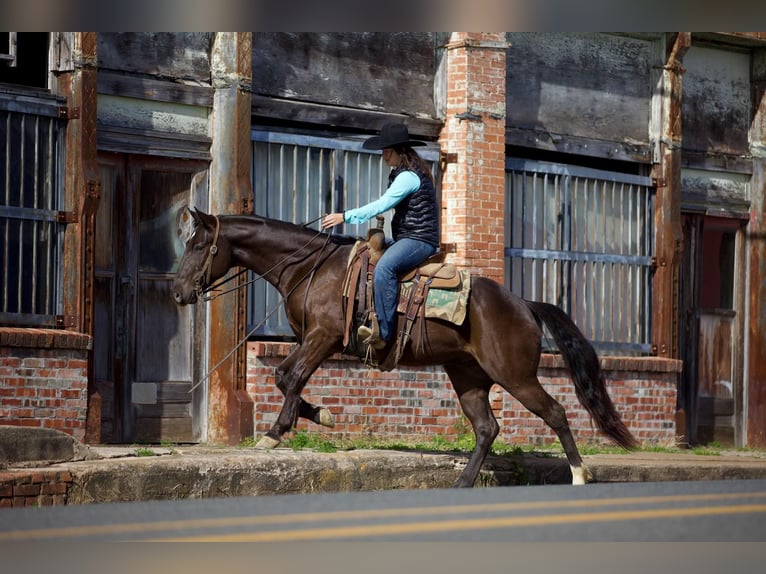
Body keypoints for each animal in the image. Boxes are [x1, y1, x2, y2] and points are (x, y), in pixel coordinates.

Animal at [172, 209, 636, 488]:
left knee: (554, 412)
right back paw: (463, 483)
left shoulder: (323, 337)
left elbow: (292, 376)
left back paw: (580, 475)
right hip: (468, 376)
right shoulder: (309, 339)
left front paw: (274, 434)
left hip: (515, 375)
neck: (310, 267)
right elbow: (284, 376)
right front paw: (319, 414)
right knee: (486, 428)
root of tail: (524, 304)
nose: (178, 291)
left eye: (198, 245)